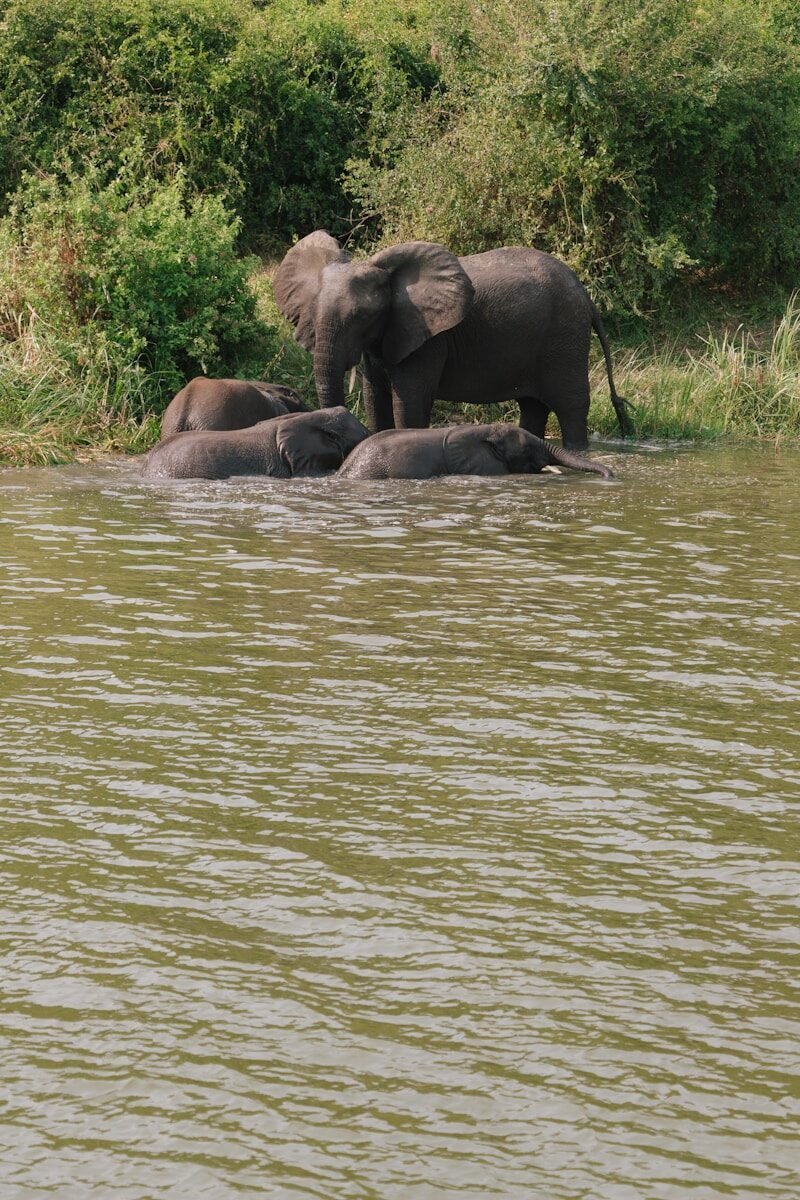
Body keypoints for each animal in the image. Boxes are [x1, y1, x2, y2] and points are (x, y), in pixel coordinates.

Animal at [273, 231, 631, 451]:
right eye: (311, 311)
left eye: (362, 316)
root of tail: (586, 295)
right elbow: (375, 401)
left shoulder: (428, 340)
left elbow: (409, 404)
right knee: (533, 407)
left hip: (565, 336)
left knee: (570, 407)